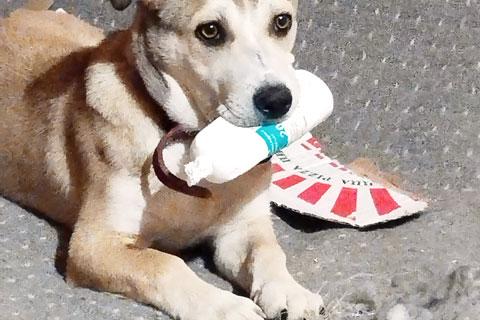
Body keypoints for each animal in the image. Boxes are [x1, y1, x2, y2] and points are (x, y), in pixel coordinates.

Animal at [0, 0, 326, 318]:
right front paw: (226, 307)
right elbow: (165, 264)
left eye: (282, 22)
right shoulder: (93, 245)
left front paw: (290, 291)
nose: (279, 101)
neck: (190, 146)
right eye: (210, 31)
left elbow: (268, 252)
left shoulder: (241, 228)